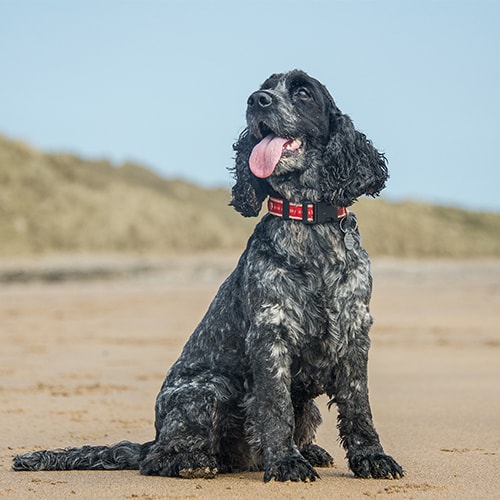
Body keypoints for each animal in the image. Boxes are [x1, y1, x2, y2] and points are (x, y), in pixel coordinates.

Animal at [11, 69, 402, 480]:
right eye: (266, 87)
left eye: (302, 92)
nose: (257, 100)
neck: (309, 226)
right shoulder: (270, 333)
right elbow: (276, 406)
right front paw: (286, 462)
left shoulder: (355, 331)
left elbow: (358, 404)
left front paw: (371, 456)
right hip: (208, 388)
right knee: (158, 458)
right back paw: (194, 462)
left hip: (295, 404)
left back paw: (308, 451)